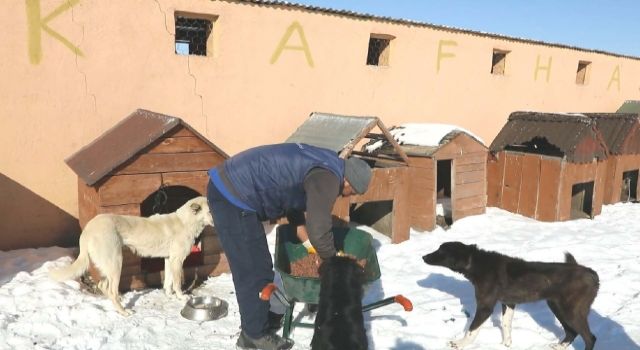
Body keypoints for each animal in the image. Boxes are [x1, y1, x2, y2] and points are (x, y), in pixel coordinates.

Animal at [422, 241, 596, 350]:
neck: (475, 263)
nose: (423, 256)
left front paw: (459, 344)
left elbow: (472, 330)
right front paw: (506, 344)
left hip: (571, 311)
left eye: (441, 250)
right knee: (572, 332)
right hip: (557, 306)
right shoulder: (508, 302)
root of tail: (593, 274)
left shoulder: (485, 307)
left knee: (590, 338)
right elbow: (506, 325)